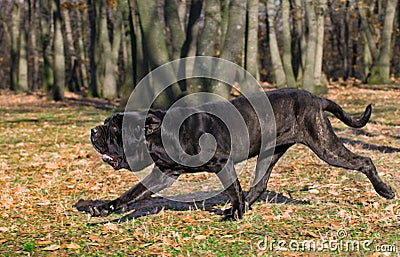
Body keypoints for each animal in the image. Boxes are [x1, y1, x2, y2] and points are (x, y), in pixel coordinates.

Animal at [76, 88, 396, 218]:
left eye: (113, 129)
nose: (93, 131)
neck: (160, 133)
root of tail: (316, 97)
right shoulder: (163, 174)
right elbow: (130, 195)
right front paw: (102, 208)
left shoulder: (221, 163)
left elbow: (232, 189)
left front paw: (236, 214)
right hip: (270, 153)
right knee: (260, 184)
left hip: (325, 147)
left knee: (364, 160)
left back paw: (385, 191)